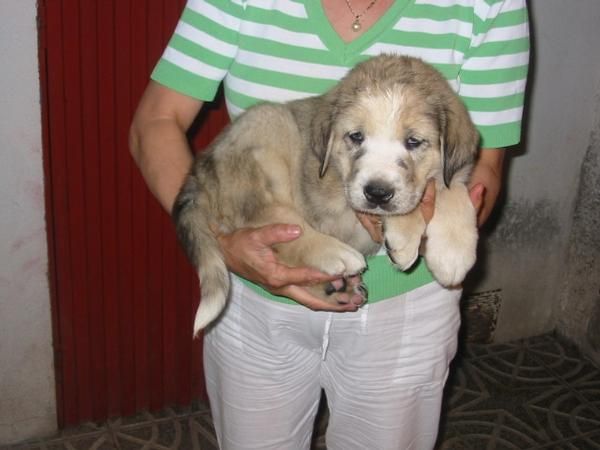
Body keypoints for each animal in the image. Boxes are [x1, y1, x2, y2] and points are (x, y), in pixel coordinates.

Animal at [172, 54, 478, 332]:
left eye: (413, 141)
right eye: (356, 136)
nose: (377, 193)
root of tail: (199, 170)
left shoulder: (450, 174)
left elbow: (453, 191)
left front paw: (453, 254)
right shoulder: (343, 198)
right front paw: (405, 238)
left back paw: (335, 288)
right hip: (266, 135)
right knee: (274, 219)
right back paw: (336, 254)